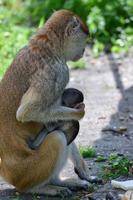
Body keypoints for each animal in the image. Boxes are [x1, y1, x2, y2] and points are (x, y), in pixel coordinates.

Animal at [0, 10, 92, 196]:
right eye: (85, 40)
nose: (84, 50)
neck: (48, 43)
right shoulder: (58, 71)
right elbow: (26, 112)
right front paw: (80, 112)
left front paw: (84, 171)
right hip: (27, 171)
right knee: (58, 137)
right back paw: (42, 188)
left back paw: (60, 182)